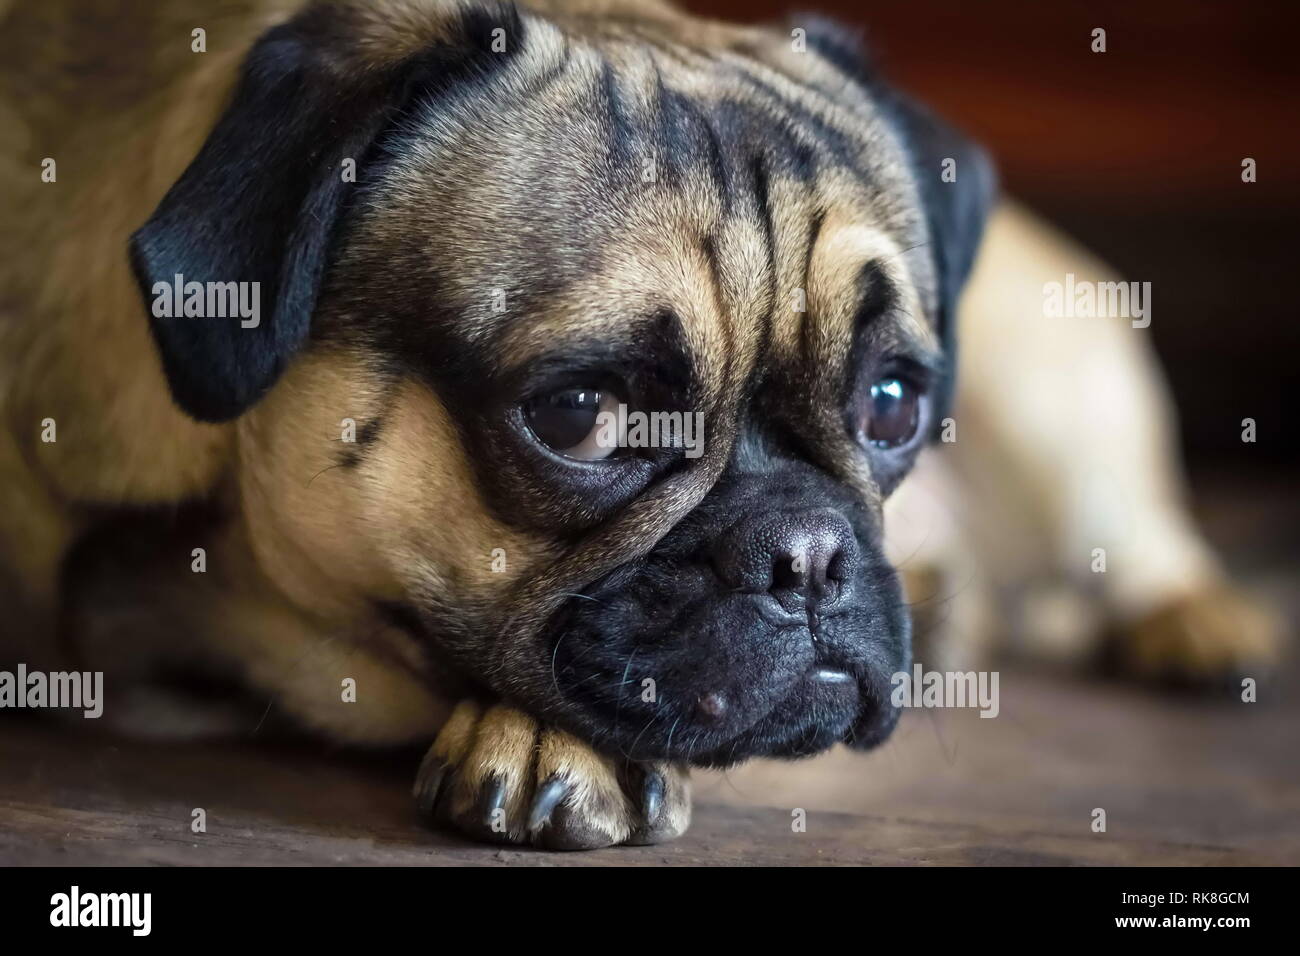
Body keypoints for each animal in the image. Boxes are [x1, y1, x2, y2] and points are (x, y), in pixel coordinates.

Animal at [2, 0, 1279, 853]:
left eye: (892, 403)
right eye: (581, 416)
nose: (808, 554)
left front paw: (549, 744)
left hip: (1055, 394)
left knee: (1133, 532)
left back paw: (1198, 622)